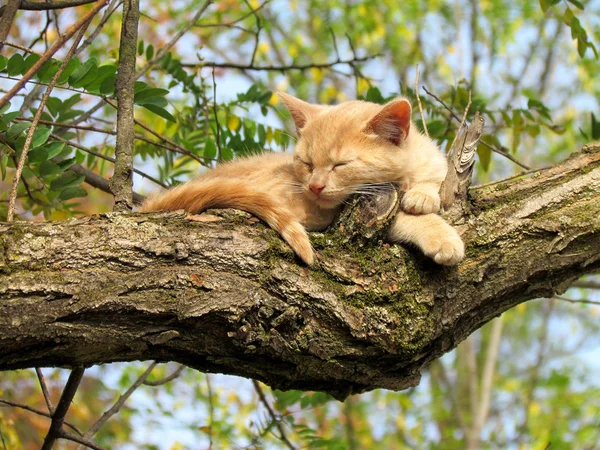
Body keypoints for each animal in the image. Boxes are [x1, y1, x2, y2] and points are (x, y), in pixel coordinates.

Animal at [141, 92, 464, 266]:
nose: (315, 186)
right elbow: (405, 219)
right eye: (307, 163)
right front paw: (440, 234)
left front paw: (424, 195)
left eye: (340, 164)